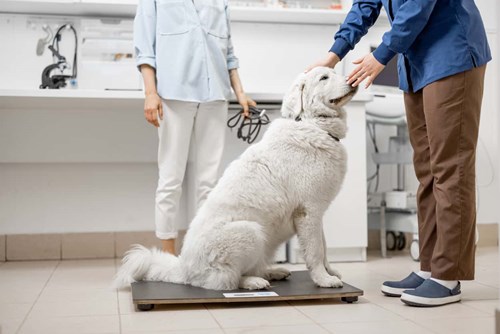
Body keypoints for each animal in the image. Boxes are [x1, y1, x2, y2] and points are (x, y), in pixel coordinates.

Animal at [114, 67, 356, 290]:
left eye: (334, 72)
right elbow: (315, 251)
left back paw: (273, 272)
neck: (310, 123)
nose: (352, 78)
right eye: (324, 78)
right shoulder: (308, 212)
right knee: (225, 280)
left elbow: (324, 248)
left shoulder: (317, 214)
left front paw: (330, 272)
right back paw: (254, 282)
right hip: (250, 231)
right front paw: (324, 280)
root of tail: (183, 268)